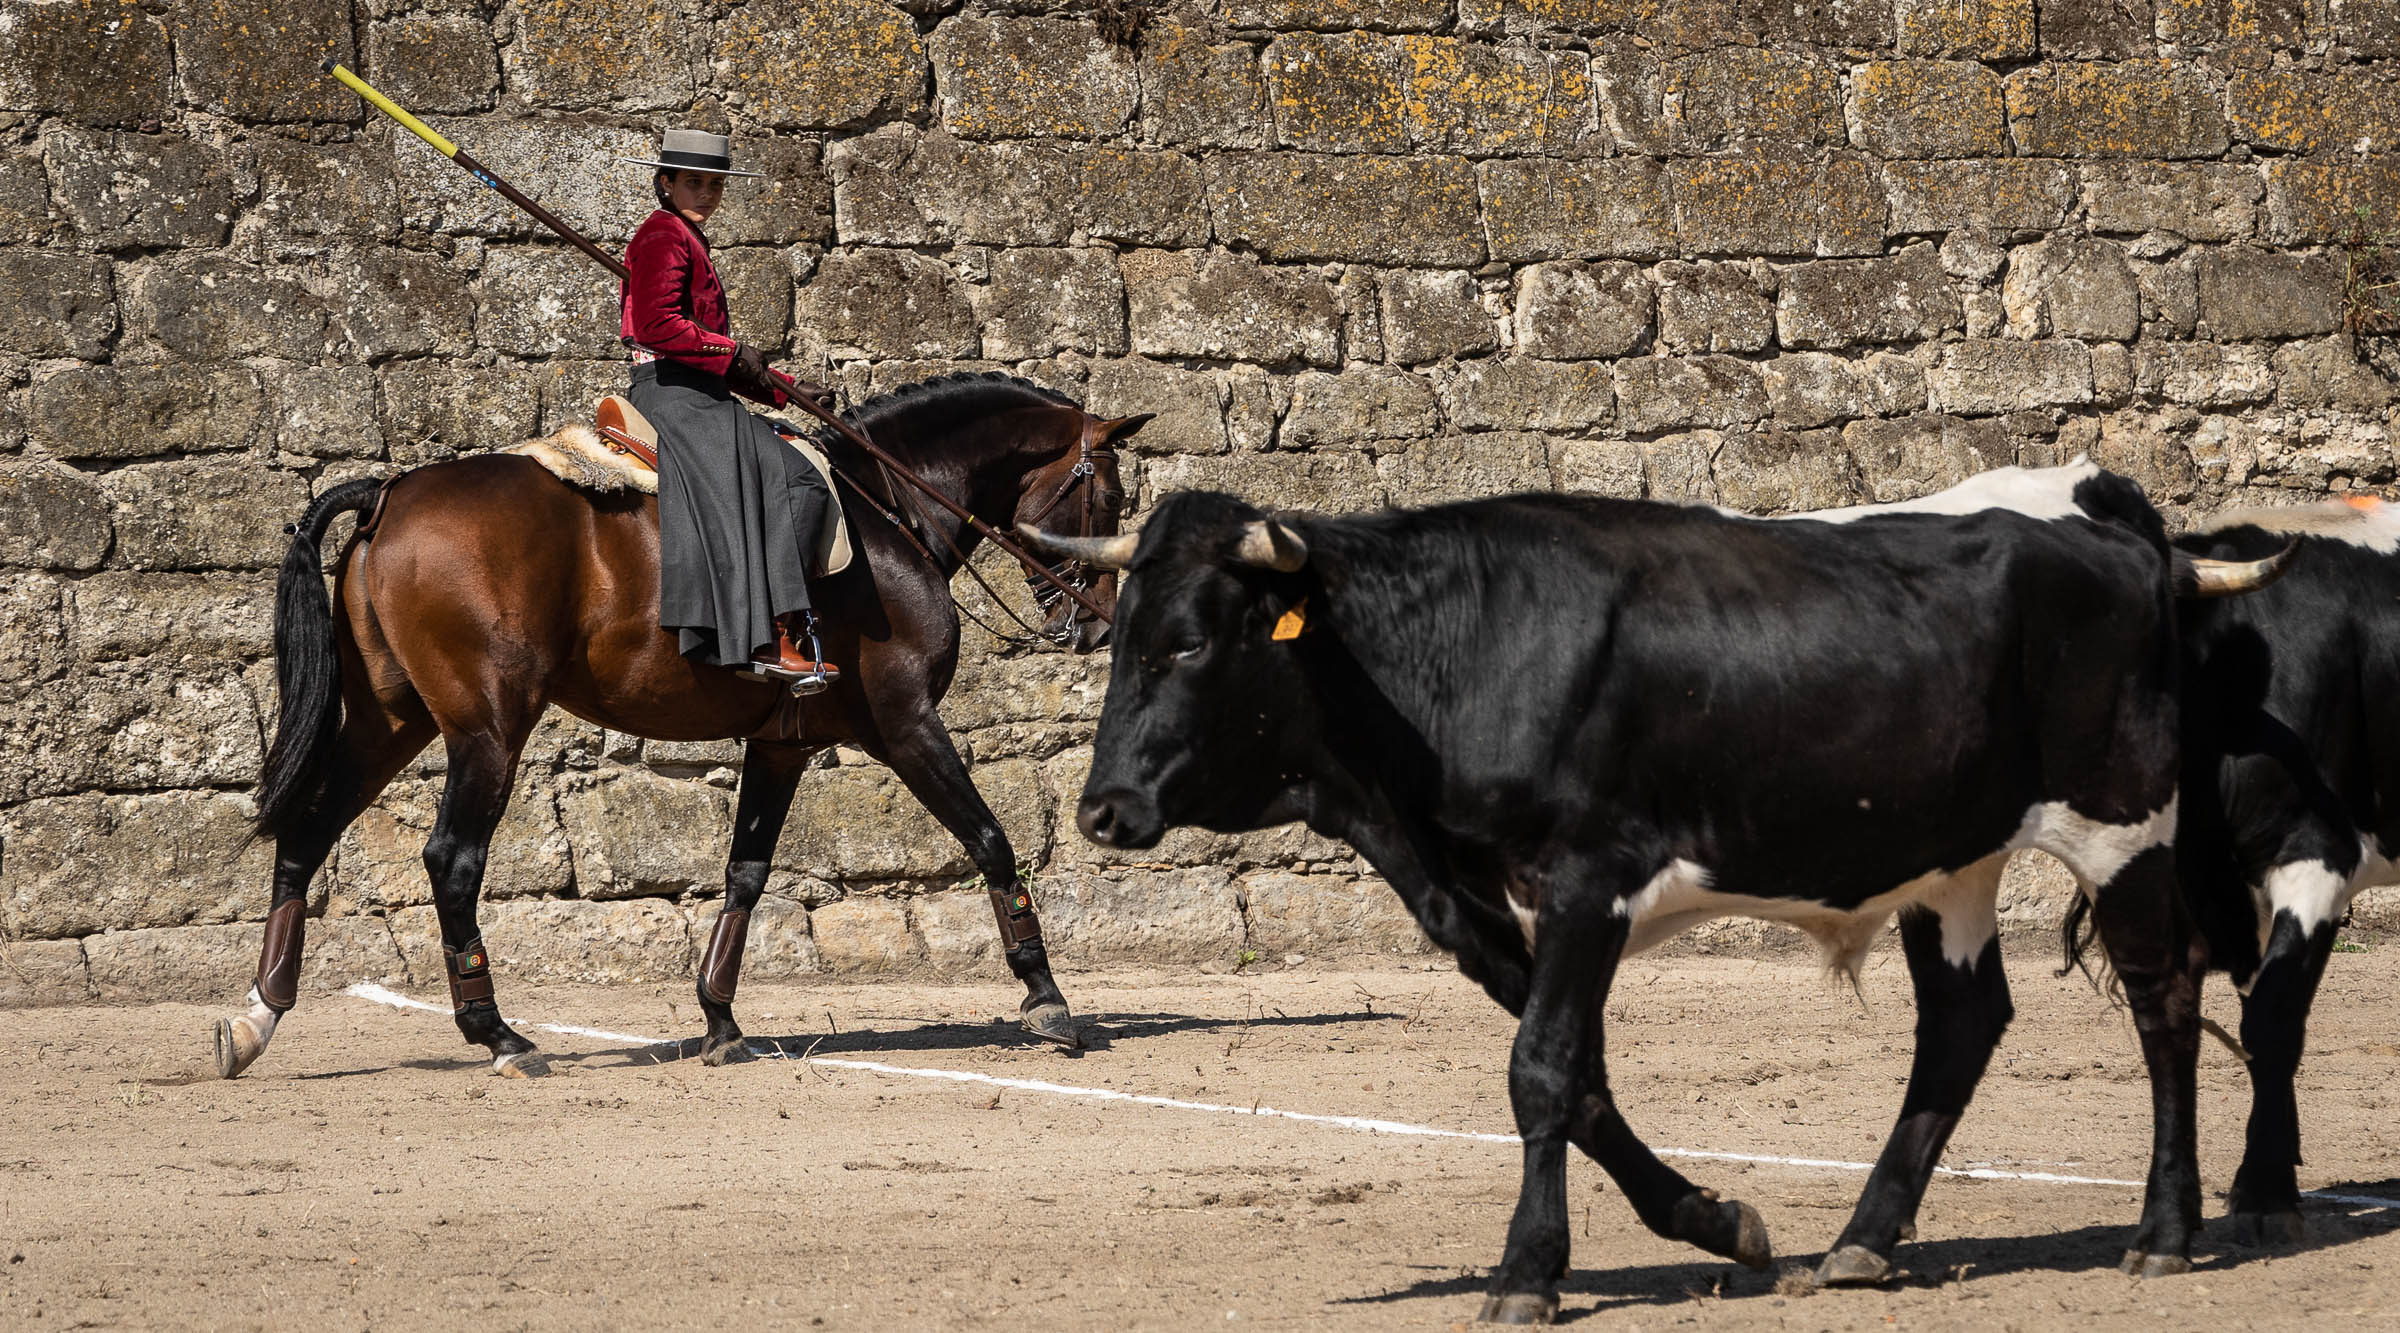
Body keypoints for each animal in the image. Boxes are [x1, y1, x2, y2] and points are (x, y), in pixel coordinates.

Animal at [216, 369, 1142, 1080]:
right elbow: (991, 840)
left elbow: (746, 874)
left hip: (389, 722)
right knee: (452, 860)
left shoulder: (781, 745)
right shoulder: (908, 724)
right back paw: (499, 1034)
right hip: (487, 730)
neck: (884, 513)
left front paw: (720, 1020)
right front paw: (1047, 998)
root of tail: (387, 493)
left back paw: (260, 1016)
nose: (1097, 625)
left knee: (307, 830)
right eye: (1108, 494)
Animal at [1032, 461, 2284, 1325]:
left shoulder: (1592, 877)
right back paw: (1865, 1240)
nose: (1102, 811)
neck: (1463, 646)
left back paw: (2164, 1228)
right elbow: (1578, 1076)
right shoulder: (1478, 898)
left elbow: (1542, 1069)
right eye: (1120, 637)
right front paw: (1715, 1222)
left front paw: (1528, 1270)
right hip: (1949, 857)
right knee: (1965, 1022)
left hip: (2119, 822)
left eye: (1191, 644)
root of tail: (2114, 513)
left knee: (2164, 998)